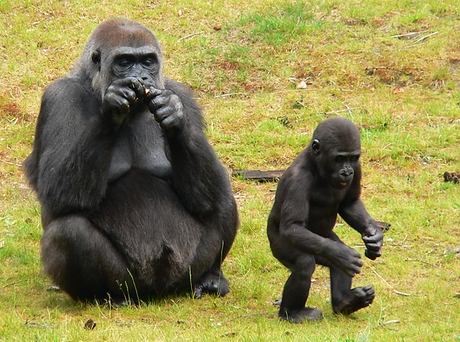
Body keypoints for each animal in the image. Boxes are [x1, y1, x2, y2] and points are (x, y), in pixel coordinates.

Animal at [24, 18, 239, 302]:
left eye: (148, 61)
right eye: (124, 62)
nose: (142, 77)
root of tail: (157, 292)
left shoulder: (181, 94)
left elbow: (202, 195)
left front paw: (174, 118)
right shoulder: (59, 97)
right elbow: (57, 192)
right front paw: (112, 108)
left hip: (184, 274)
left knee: (219, 197)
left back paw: (209, 277)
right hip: (131, 283)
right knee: (68, 232)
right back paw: (103, 296)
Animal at [266, 117, 388, 324]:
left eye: (352, 158)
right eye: (339, 158)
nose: (347, 172)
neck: (317, 164)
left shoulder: (358, 168)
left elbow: (349, 203)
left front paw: (374, 235)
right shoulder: (298, 178)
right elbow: (292, 226)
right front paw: (343, 254)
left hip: (324, 241)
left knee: (332, 258)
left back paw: (345, 302)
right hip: (277, 245)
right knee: (305, 264)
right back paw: (292, 313)